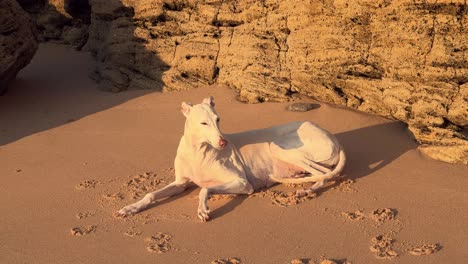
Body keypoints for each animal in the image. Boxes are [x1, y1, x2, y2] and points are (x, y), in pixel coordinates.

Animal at [116, 96, 344, 221]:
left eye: (218, 119)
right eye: (203, 123)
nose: (224, 142)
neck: (198, 151)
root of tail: (331, 135)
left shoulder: (241, 182)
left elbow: (205, 189)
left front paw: (203, 209)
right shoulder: (180, 183)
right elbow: (151, 194)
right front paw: (131, 208)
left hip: (280, 147)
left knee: (326, 174)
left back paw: (307, 190)